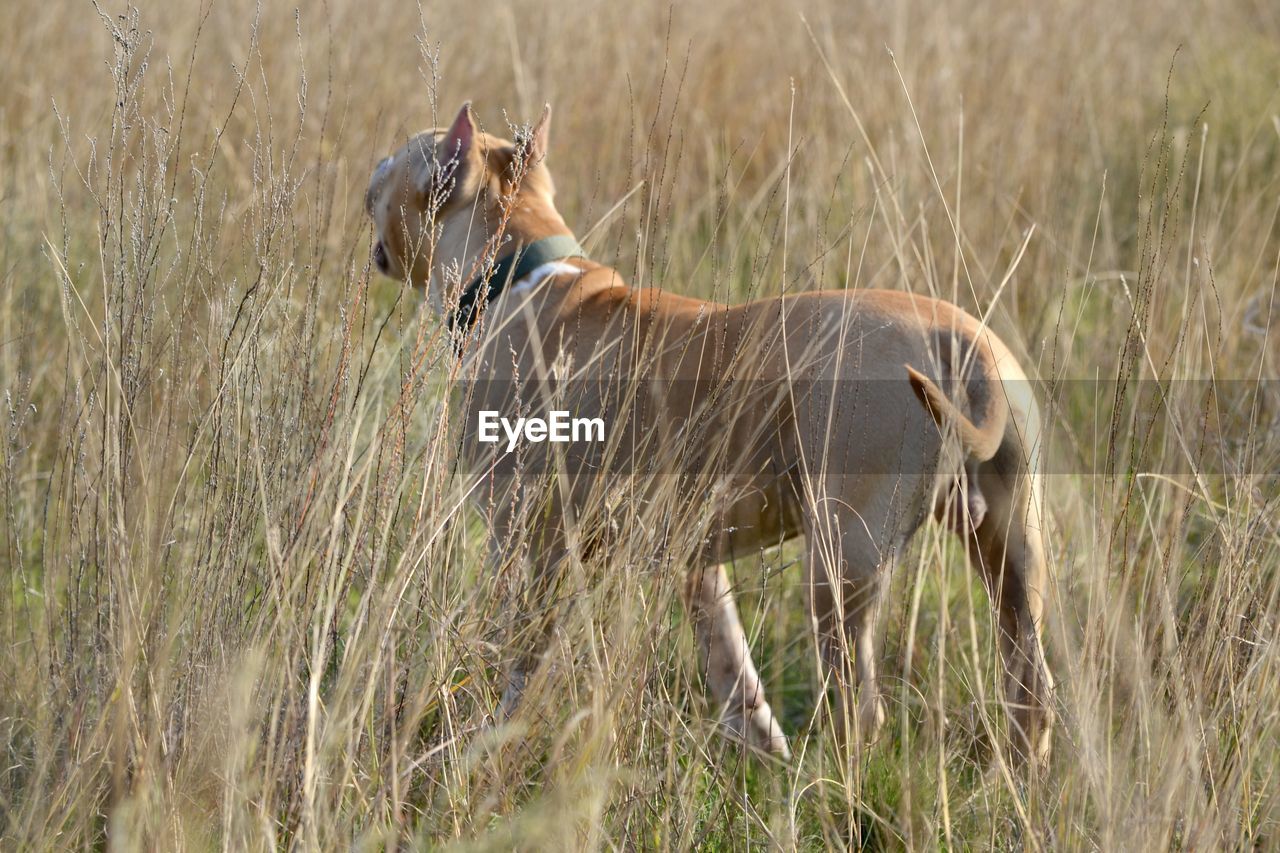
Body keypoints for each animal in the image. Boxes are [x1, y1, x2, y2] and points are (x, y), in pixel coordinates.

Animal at [368, 103, 1049, 758]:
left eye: (390, 164)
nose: (371, 165)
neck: (517, 270)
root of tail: (959, 340)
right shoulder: (695, 565)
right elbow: (734, 673)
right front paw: (761, 750)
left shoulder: (527, 547)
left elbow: (517, 664)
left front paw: (486, 742)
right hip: (1013, 555)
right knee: (1031, 692)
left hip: (841, 561)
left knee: (860, 713)